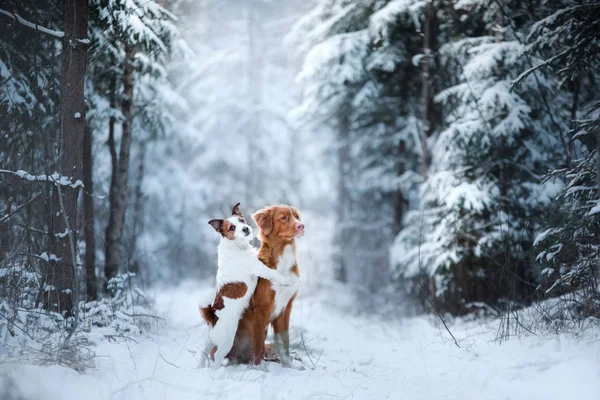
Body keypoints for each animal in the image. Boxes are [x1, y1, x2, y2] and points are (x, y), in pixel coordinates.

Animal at [200, 203, 292, 368]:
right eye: (231, 227)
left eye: (241, 220)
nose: (246, 229)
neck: (235, 246)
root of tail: (212, 319)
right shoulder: (258, 267)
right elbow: (272, 273)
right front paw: (285, 280)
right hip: (226, 342)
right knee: (217, 357)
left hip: (207, 342)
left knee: (202, 355)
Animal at [229, 205, 304, 364]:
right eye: (284, 218)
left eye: (297, 217)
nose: (302, 226)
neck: (283, 257)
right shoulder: (260, 309)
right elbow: (258, 346)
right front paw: (258, 367)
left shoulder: (286, 308)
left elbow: (284, 341)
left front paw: (288, 364)